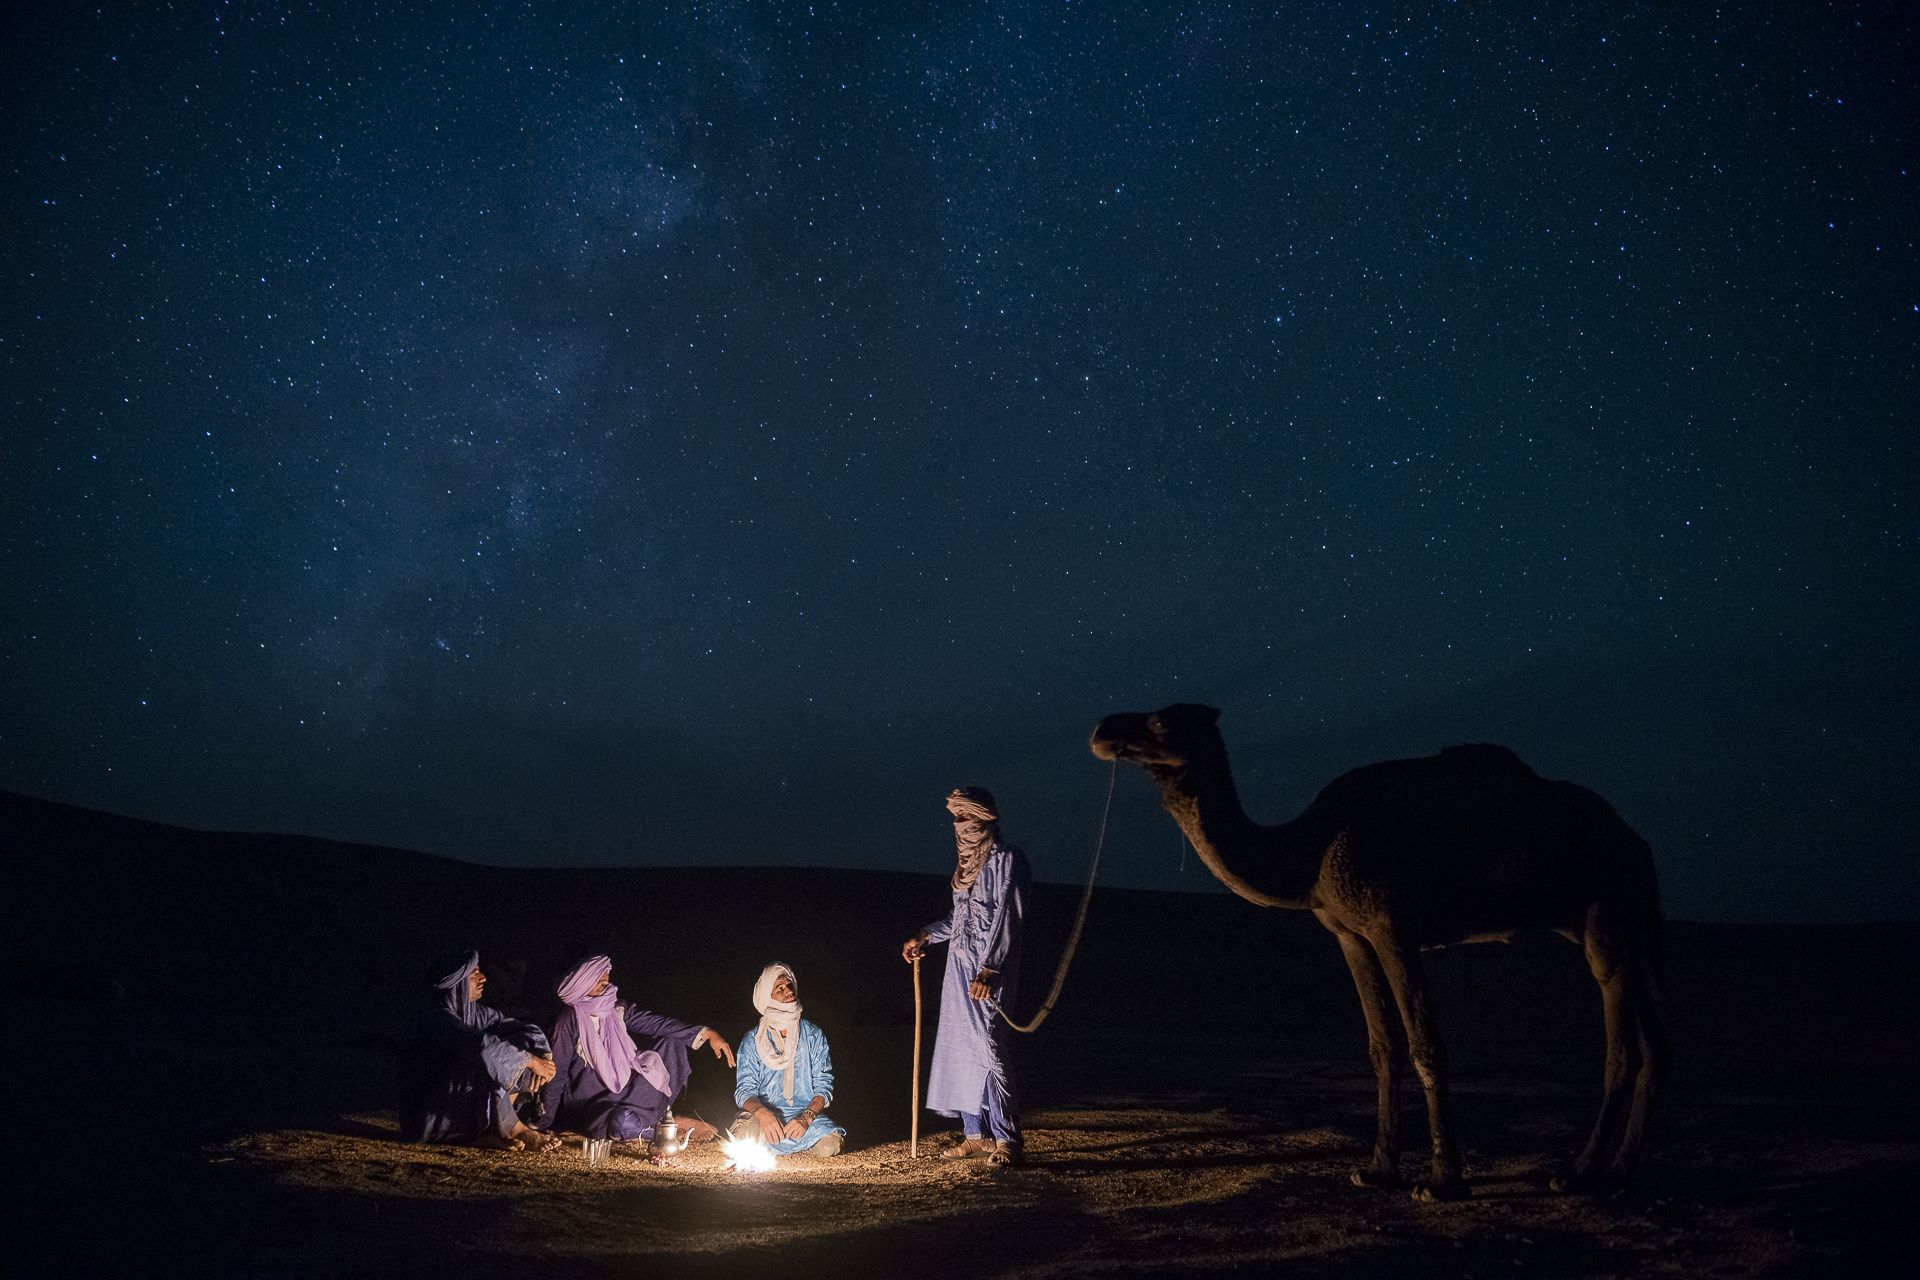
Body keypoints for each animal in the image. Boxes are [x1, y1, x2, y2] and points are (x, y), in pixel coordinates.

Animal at [1098, 702, 1666, 1205]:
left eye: (1161, 721)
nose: (1103, 731)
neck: (1308, 852)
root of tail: (1638, 842)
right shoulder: (1350, 935)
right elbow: (1383, 1047)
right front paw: (1377, 1170)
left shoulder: (1392, 926)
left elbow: (1425, 1045)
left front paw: (1442, 1181)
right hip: (1628, 928)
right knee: (1654, 1045)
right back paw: (1621, 1171)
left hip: (1608, 915)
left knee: (1621, 1046)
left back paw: (1579, 1173)